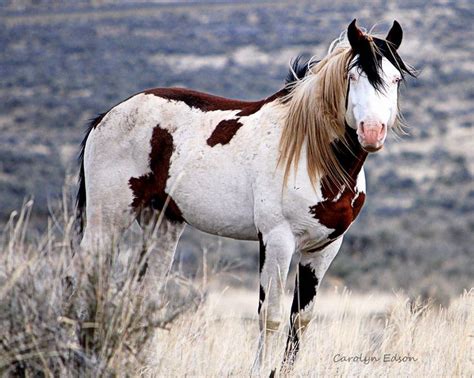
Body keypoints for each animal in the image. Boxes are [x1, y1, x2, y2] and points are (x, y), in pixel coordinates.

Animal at [76, 19, 412, 372]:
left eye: (396, 79)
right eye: (353, 76)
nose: (372, 132)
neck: (311, 152)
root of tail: (106, 117)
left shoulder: (324, 248)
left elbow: (300, 320)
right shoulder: (277, 240)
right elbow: (271, 317)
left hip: (161, 224)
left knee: (146, 296)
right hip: (106, 223)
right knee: (84, 283)